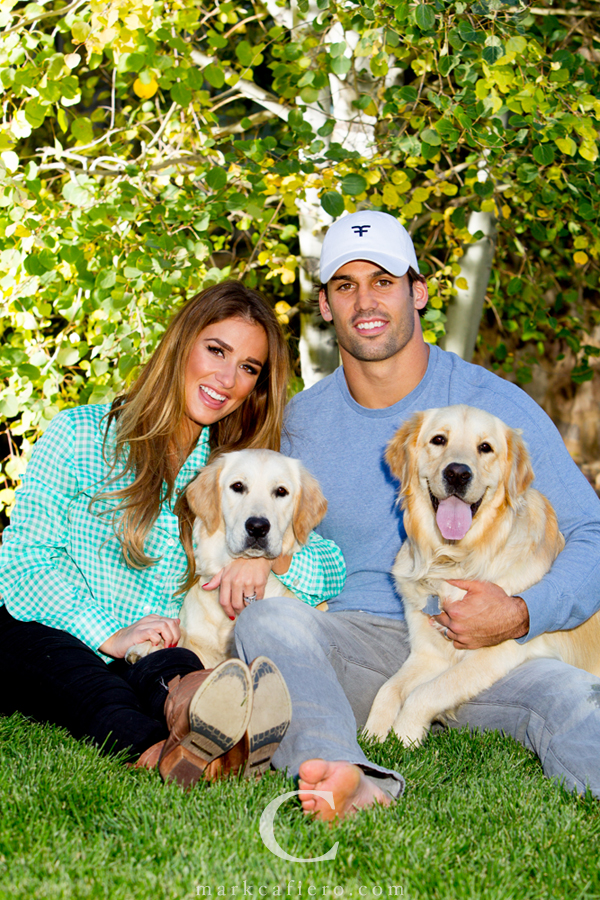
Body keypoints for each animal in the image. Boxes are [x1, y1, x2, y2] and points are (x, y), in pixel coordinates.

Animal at [364, 404, 600, 747]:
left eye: (485, 447)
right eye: (439, 439)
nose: (457, 473)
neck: (453, 559)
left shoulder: (495, 653)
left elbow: (427, 693)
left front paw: (405, 737)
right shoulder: (428, 652)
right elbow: (388, 689)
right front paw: (374, 736)